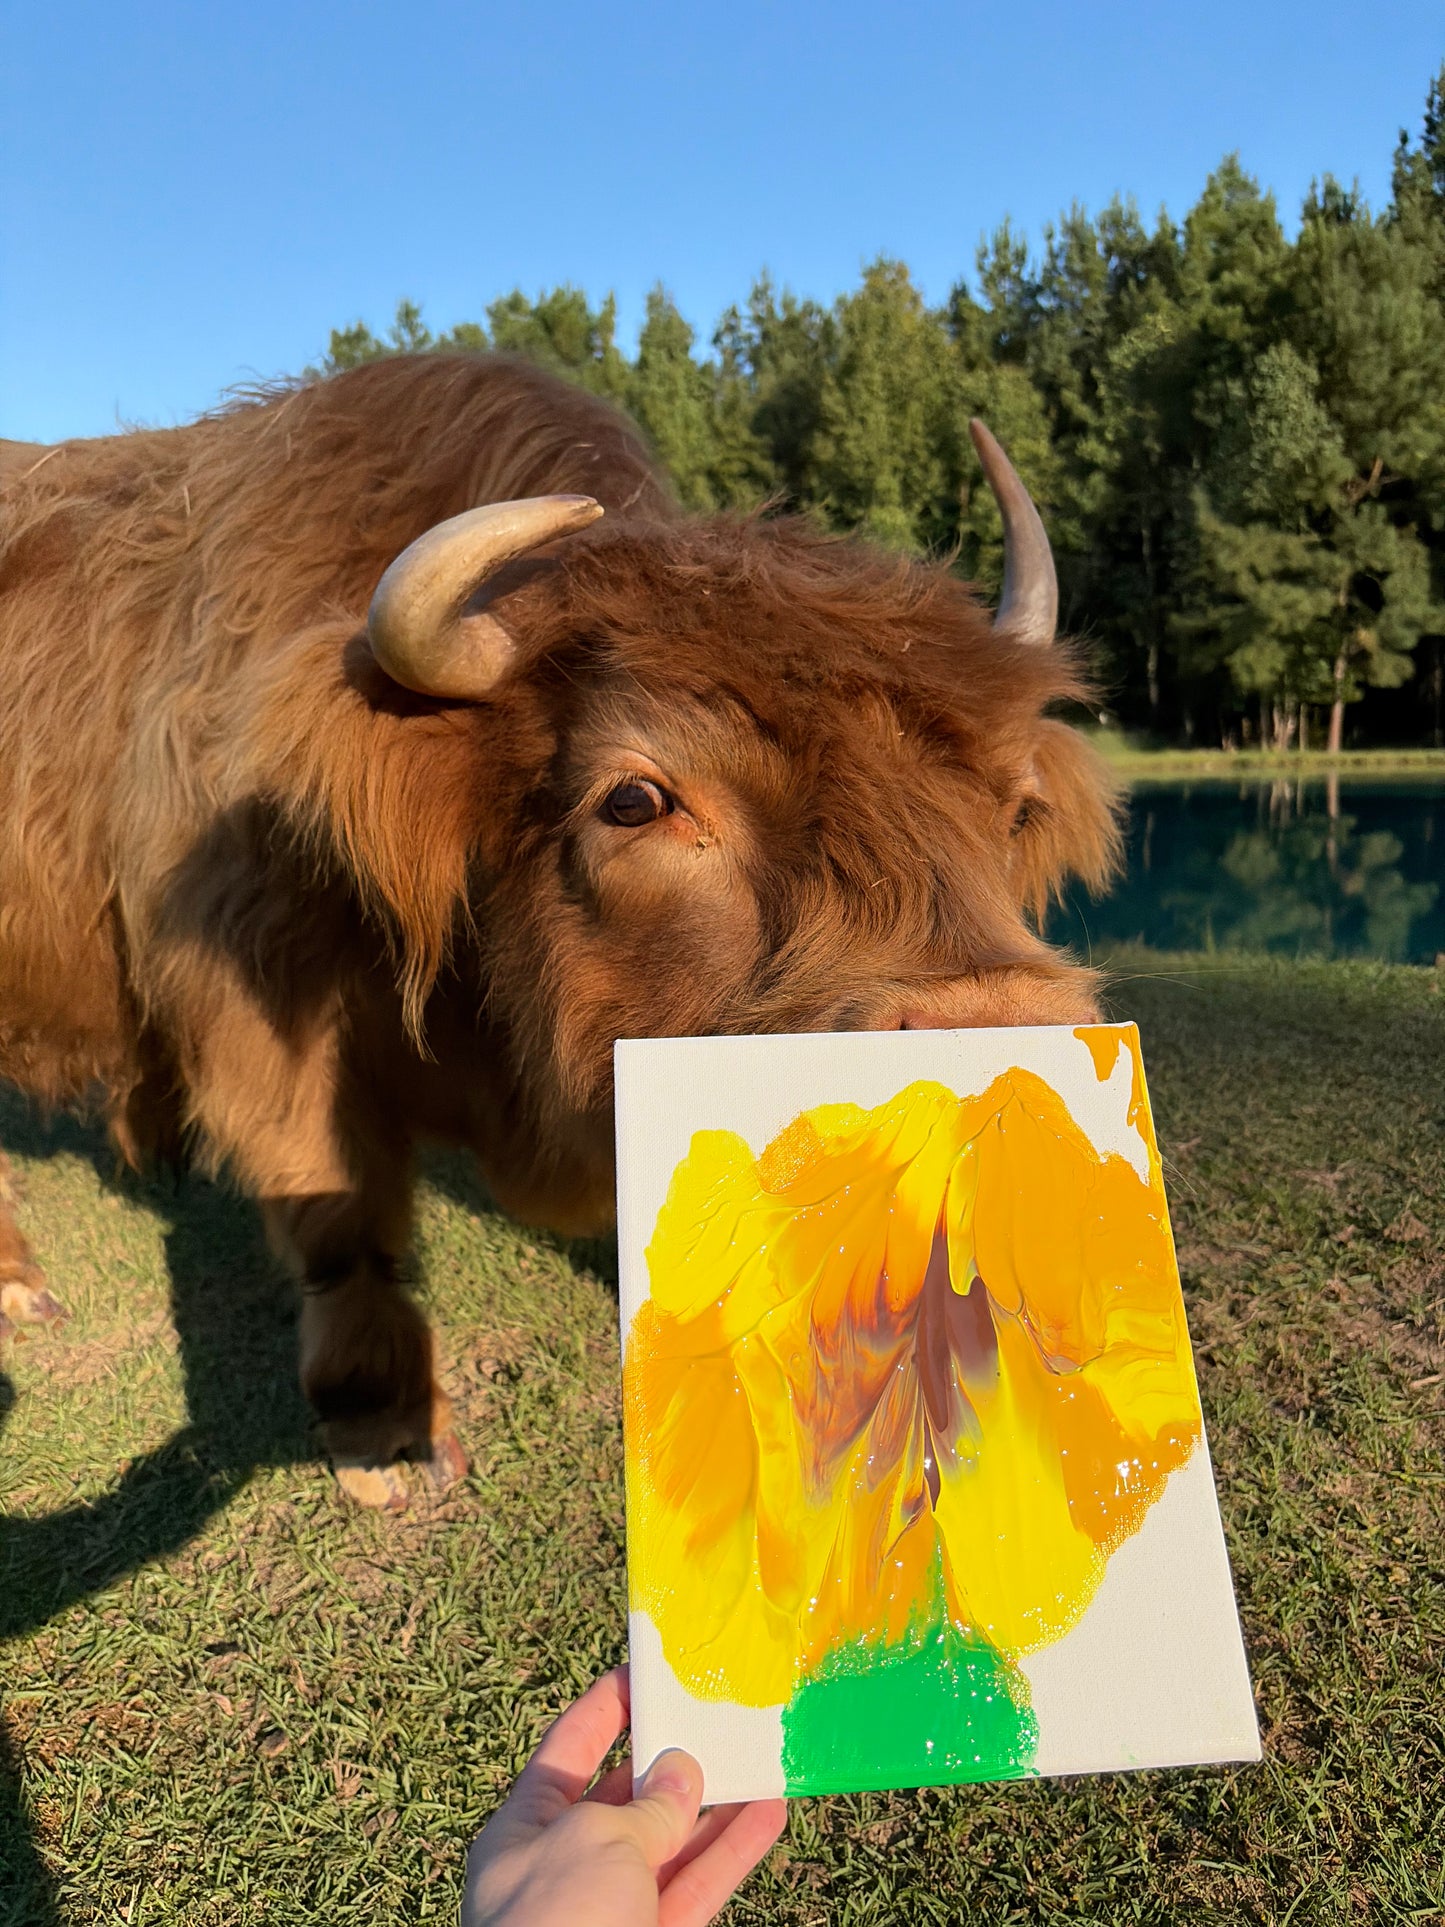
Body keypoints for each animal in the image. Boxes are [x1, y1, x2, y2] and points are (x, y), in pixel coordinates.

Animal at [0, 353, 1120, 1506]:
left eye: (1017, 808)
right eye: (634, 800)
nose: (1001, 1042)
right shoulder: (263, 1016)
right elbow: (335, 1215)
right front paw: (380, 1428)